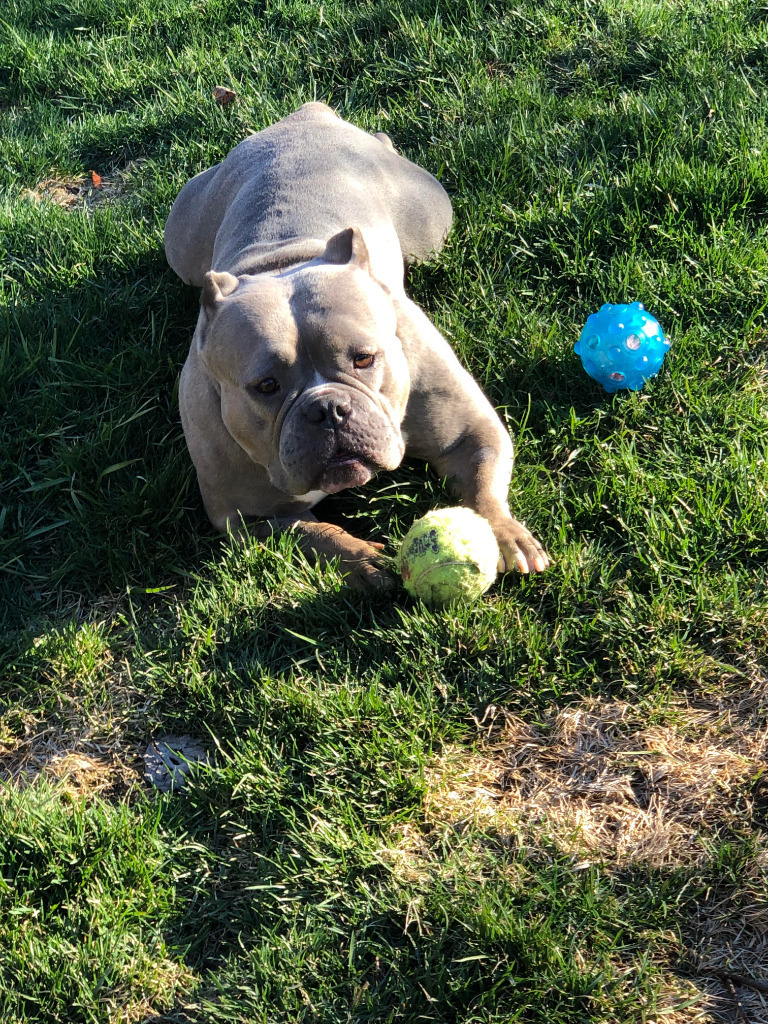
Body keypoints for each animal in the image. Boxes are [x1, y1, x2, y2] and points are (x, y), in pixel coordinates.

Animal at [165, 101, 548, 593]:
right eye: (266, 385)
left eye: (364, 359)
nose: (327, 409)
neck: (280, 263)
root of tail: (305, 116)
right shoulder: (247, 517)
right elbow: (315, 532)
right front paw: (361, 559)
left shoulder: (469, 432)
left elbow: (482, 487)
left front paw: (504, 534)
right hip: (182, 237)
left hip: (431, 224)